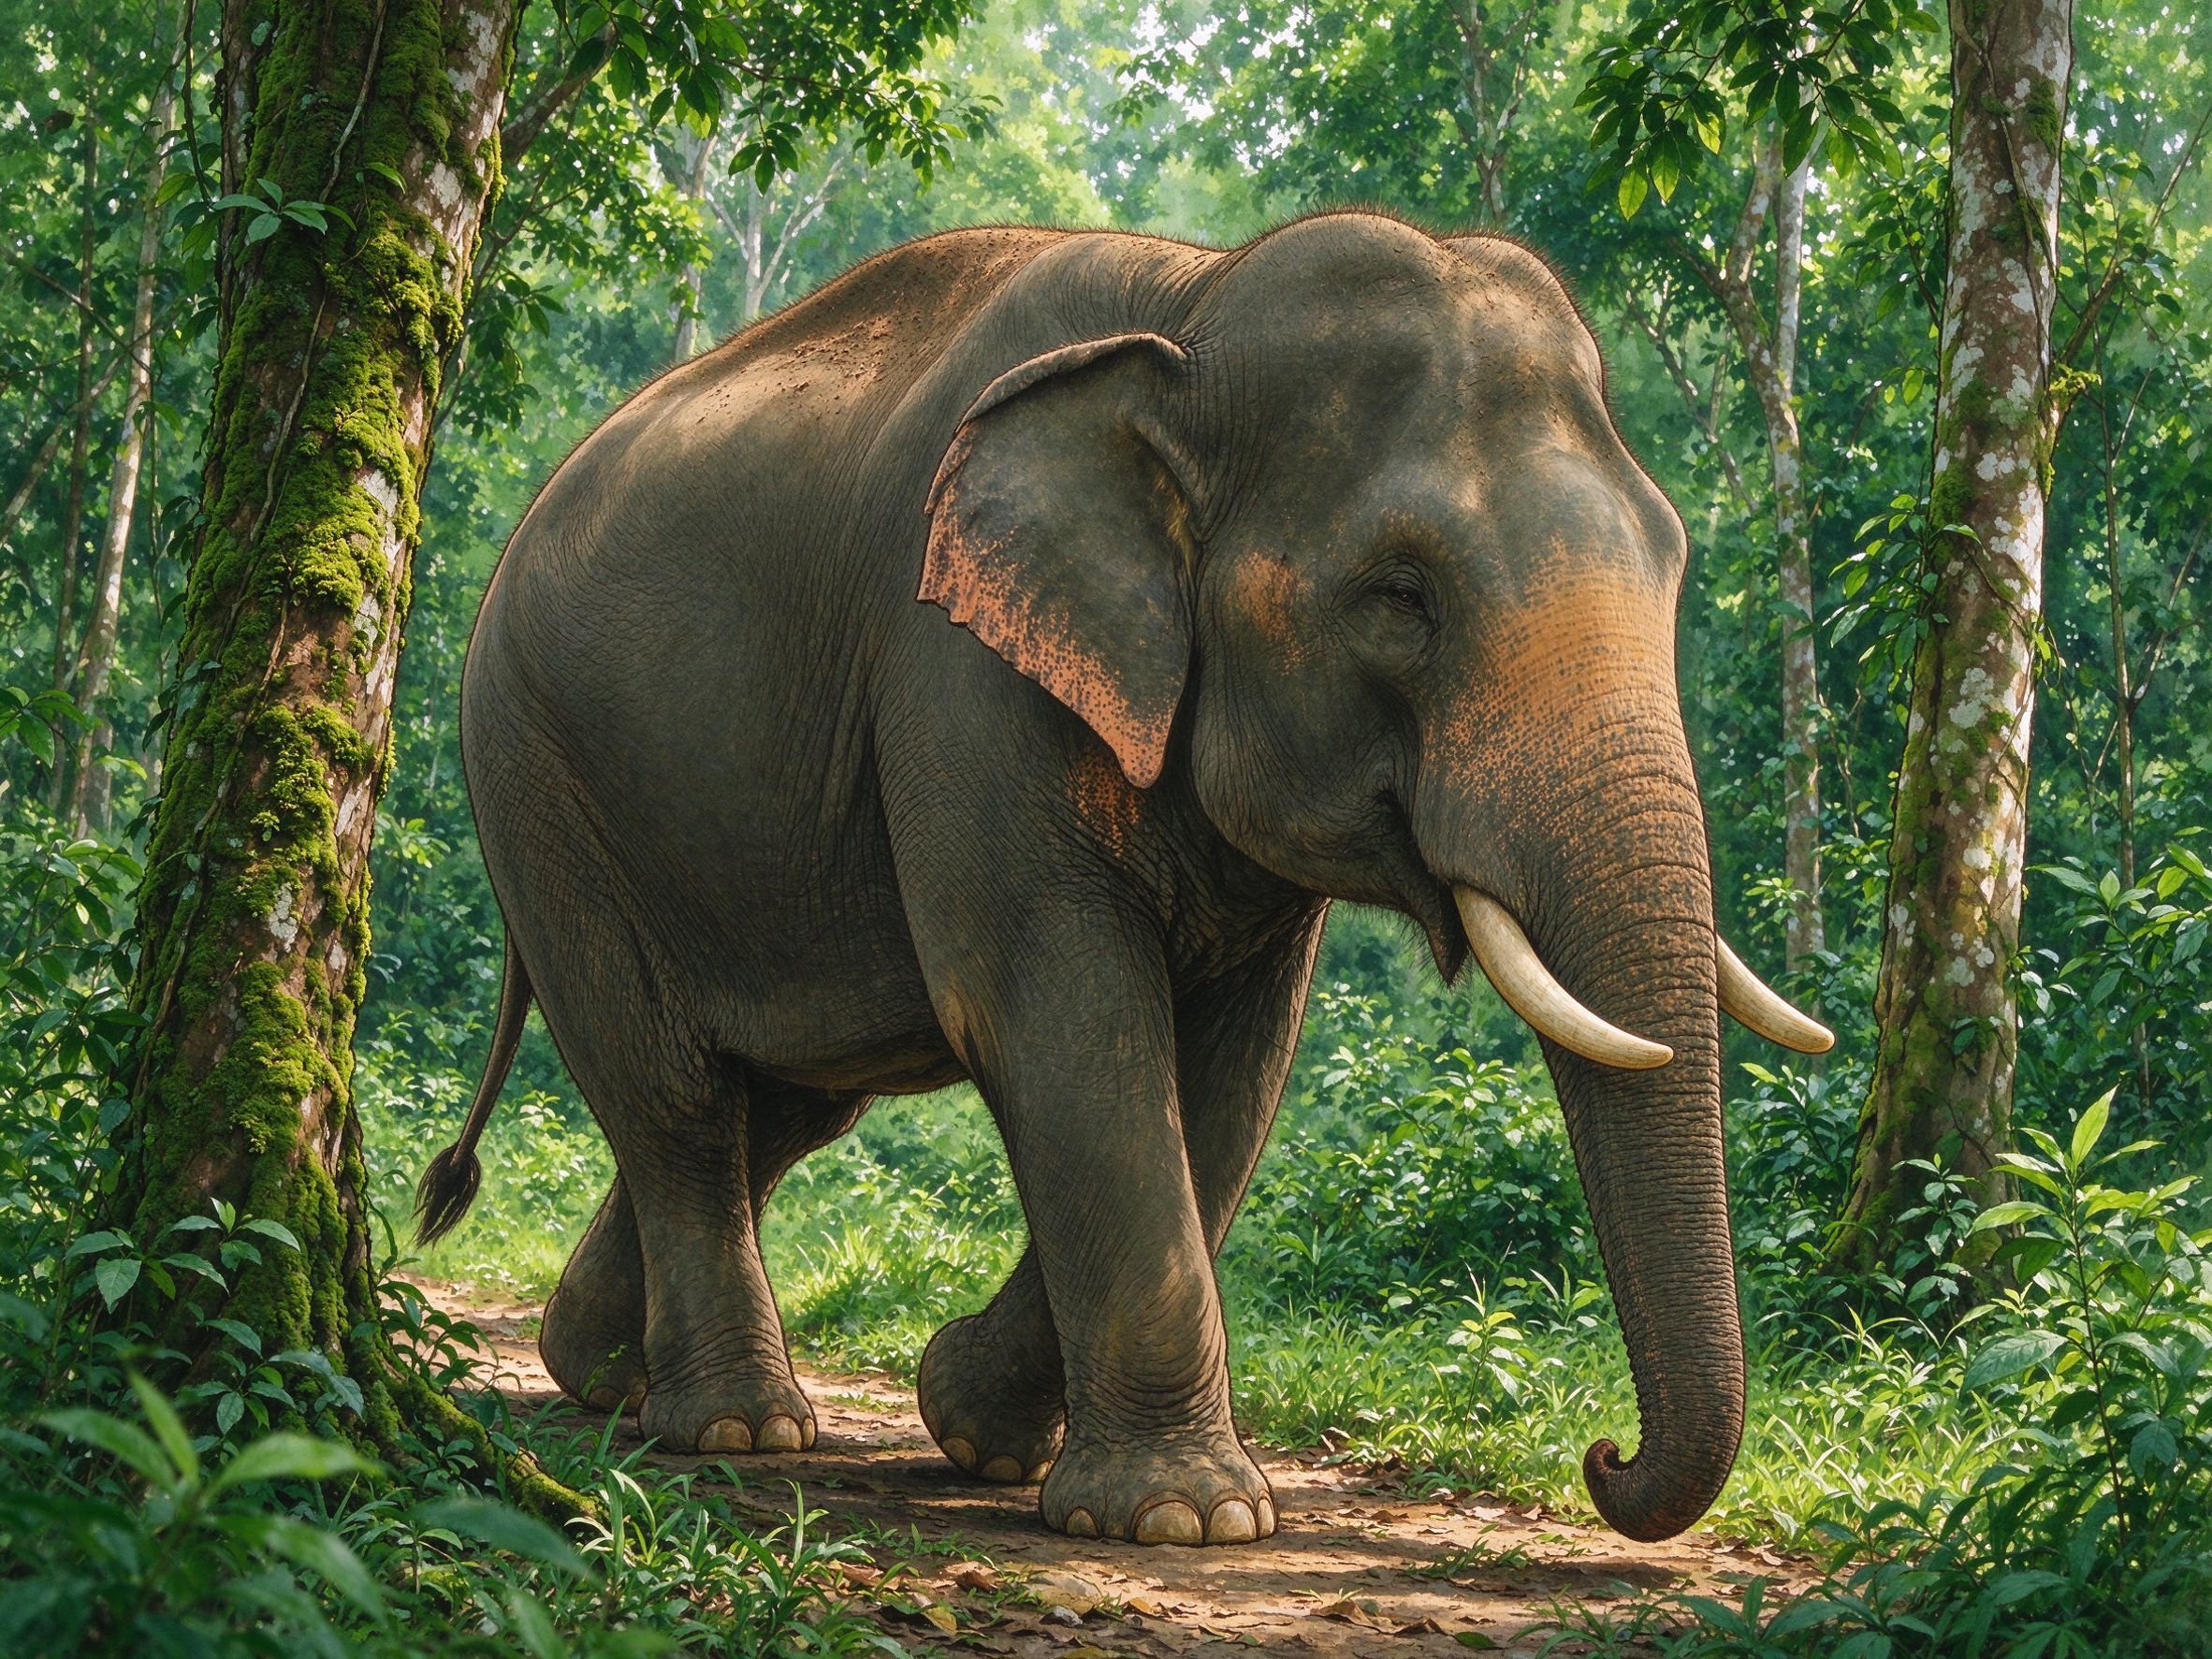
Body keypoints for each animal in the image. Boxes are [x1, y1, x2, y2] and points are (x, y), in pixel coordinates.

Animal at [415, 211, 1833, 1547]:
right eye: (1400, 596)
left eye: (1674, 560)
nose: (1603, 1455)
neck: (1193, 303)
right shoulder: (957, 666)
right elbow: (1058, 1013)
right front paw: (1184, 1516)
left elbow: (1232, 1071)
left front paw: (976, 1427)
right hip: (538, 778)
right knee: (674, 1096)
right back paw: (736, 1426)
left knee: (793, 1105)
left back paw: (598, 1371)